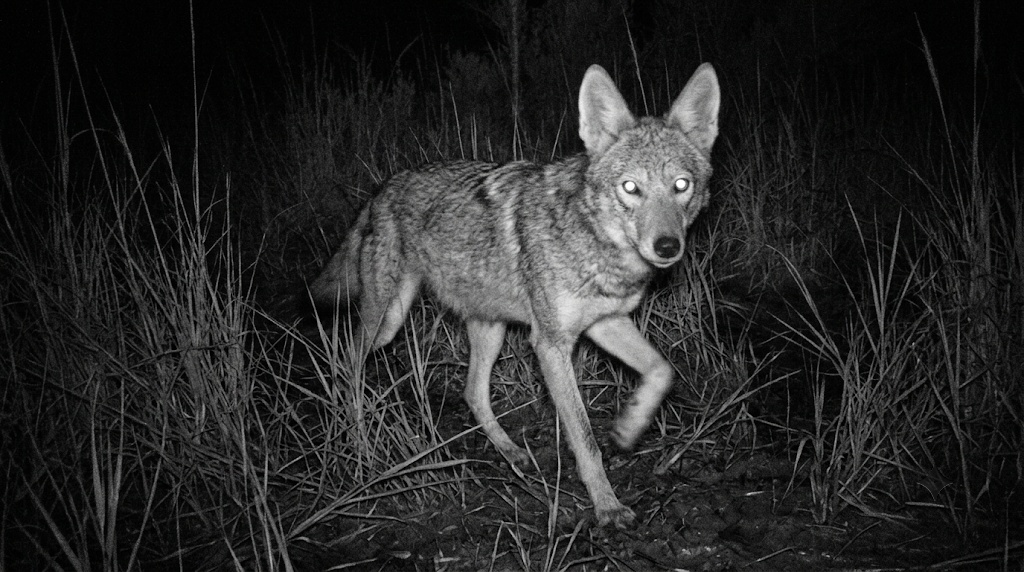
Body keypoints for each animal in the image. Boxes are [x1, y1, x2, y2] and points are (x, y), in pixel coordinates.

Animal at [309, 63, 720, 528]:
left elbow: (661, 370)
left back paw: (511, 453)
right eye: (630, 188)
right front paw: (607, 506)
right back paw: (358, 436)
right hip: (389, 320)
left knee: (472, 393)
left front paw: (629, 427)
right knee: (347, 360)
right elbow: (584, 438)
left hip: (490, 330)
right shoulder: (551, 344)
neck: (595, 241)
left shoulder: (604, 323)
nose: (668, 247)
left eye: (681, 185)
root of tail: (383, 187)